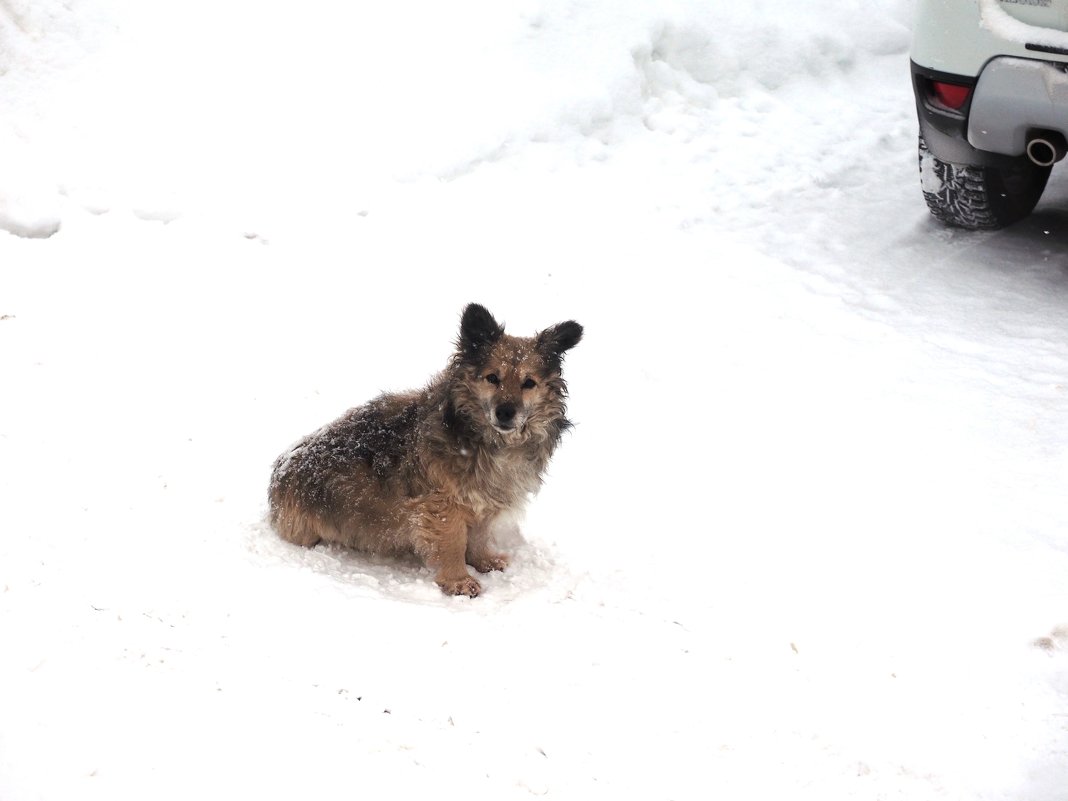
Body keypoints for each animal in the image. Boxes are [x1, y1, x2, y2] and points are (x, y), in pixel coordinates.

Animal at [267, 303, 585, 598]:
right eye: (492, 378)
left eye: (528, 383)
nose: (506, 412)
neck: (486, 441)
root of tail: (278, 472)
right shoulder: (441, 503)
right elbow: (454, 542)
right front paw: (459, 581)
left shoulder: (484, 497)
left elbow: (479, 535)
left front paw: (483, 561)